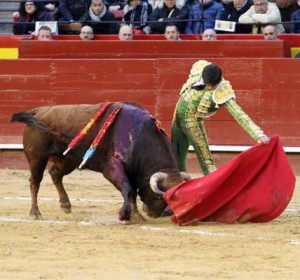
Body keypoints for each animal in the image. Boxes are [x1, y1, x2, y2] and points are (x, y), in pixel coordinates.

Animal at [11, 101, 190, 222]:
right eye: (161, 196)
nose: (154, 213)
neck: (139, 135)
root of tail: (38, 111)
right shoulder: (112, 167)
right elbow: (128, 189)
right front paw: (126, 215)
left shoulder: (133, 171)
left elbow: (132, 191)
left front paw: (136, 215)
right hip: (37, 158)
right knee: (35, 181)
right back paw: (35, 213)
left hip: (69, 158)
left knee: (55, 173)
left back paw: (66, 205)